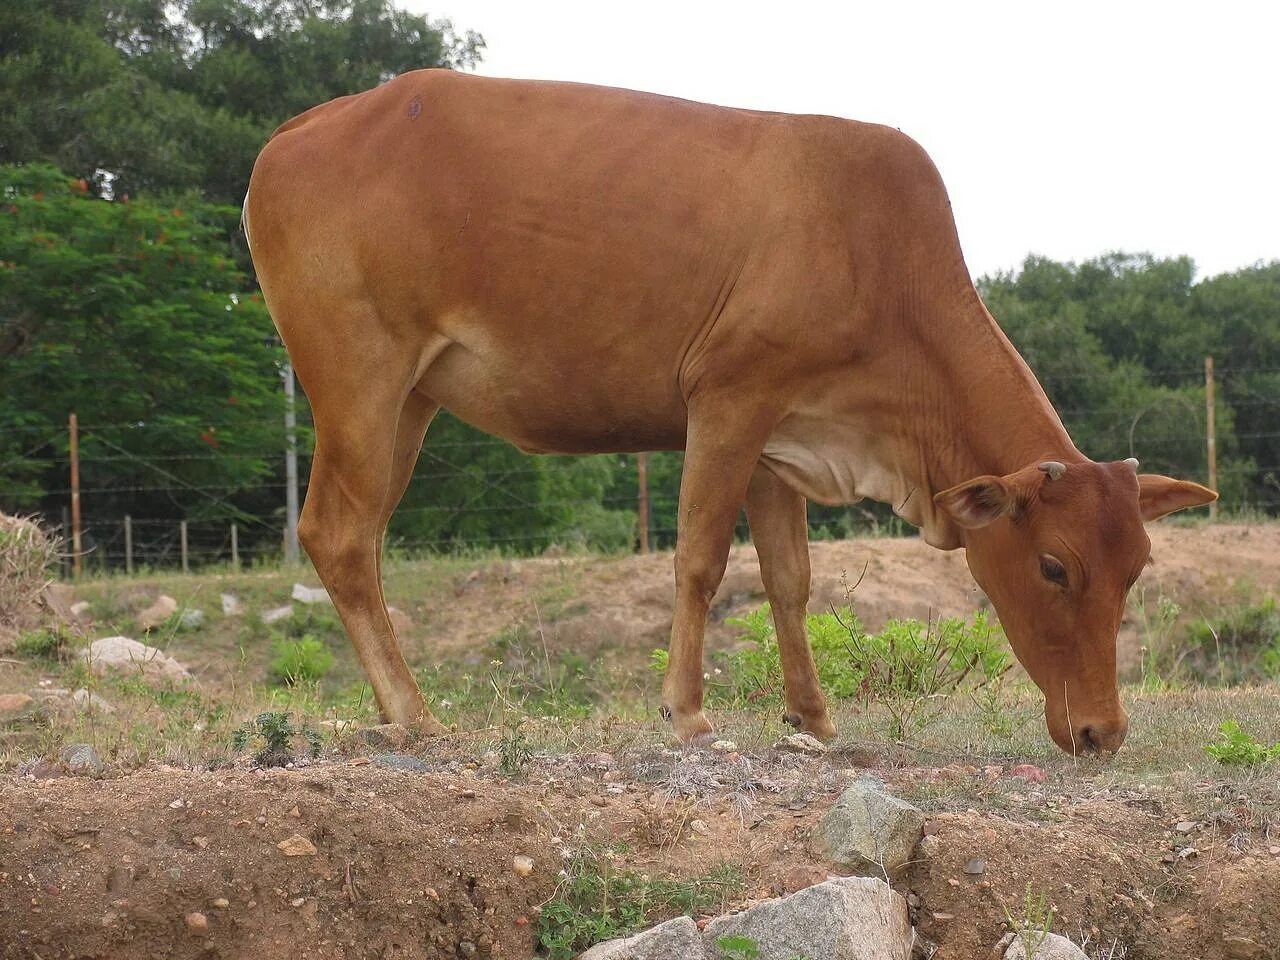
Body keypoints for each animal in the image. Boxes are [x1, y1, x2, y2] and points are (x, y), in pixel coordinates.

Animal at [244, 69, 1213, 757]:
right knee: (338, 533)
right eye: (1053, 567)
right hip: (360, 377)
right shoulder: (729, 398)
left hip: (410, 399)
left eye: (1136, 570)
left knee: (363, 537)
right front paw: (688, 714)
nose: (1102, 732)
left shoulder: (781, 438)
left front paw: (813, 717)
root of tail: (310, 124)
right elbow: (703, 560)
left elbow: (788, 579)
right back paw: (413, 712)